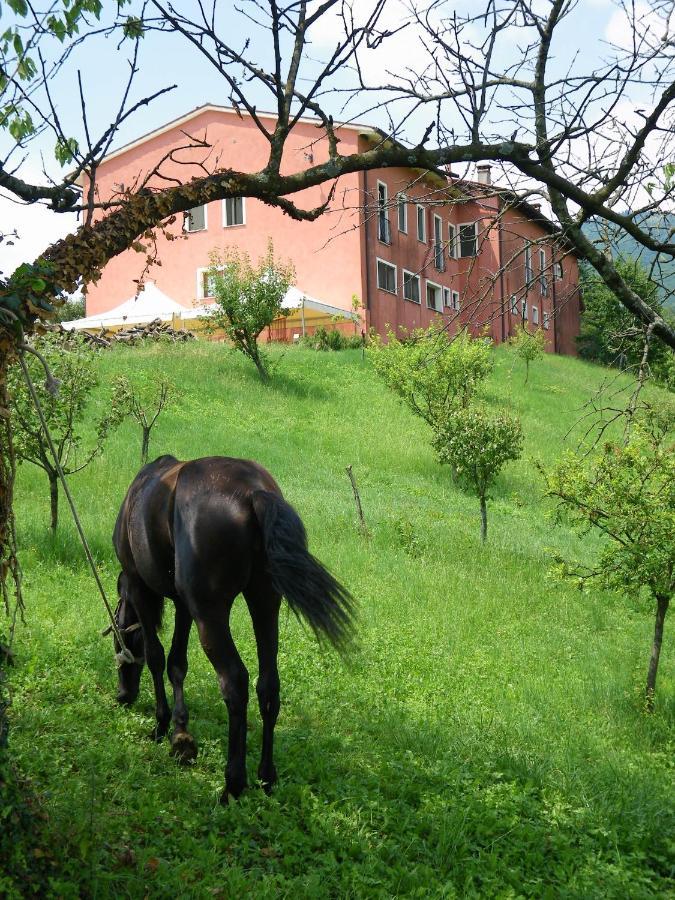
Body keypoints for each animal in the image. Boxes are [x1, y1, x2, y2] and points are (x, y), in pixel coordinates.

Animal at [112, 458, 354, 800]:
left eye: (116, 642)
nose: (123, 695)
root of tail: (252, 492)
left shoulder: (140, 587)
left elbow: (156, 657)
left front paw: (162, 726)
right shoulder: (184, 604)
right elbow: (177, 664)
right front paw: (181, 735)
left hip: (211, 615)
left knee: (235, 683)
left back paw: (233, 785)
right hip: (265, 602)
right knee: (268, 685)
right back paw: (266, 777)